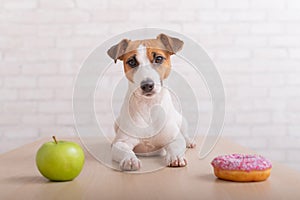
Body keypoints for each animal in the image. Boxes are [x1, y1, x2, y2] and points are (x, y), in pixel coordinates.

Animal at [106, 33, 196, 171]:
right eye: (131, 62)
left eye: (158, 58)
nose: (147, 85)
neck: (148, 106)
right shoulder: (122, 142)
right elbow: (124, 149)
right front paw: (130, 159)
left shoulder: (175, 138)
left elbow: (176, 145)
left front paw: (175, 157)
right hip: (116, 123)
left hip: (181, 120)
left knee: (185, 134)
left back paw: (190, 142)